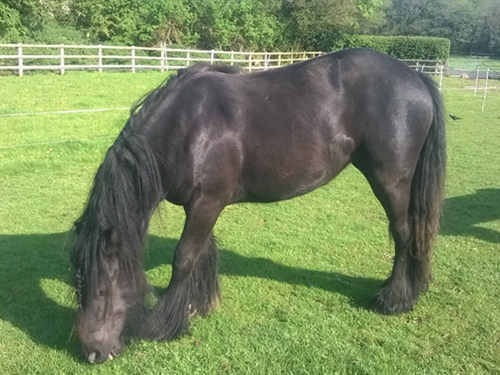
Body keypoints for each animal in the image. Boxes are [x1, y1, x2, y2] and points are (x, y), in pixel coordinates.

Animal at [69, 49, 446, 364]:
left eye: (101, 288)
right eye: (78, 283)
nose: (93, 353)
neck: (186, 126)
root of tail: (415, 77)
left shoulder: (207, 202)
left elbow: (184, 258)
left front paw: (165, 324)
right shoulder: (202, 204)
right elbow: (203, 252)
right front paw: (198, 305)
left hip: (390, 180)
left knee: (403, 232)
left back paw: (395, 299)